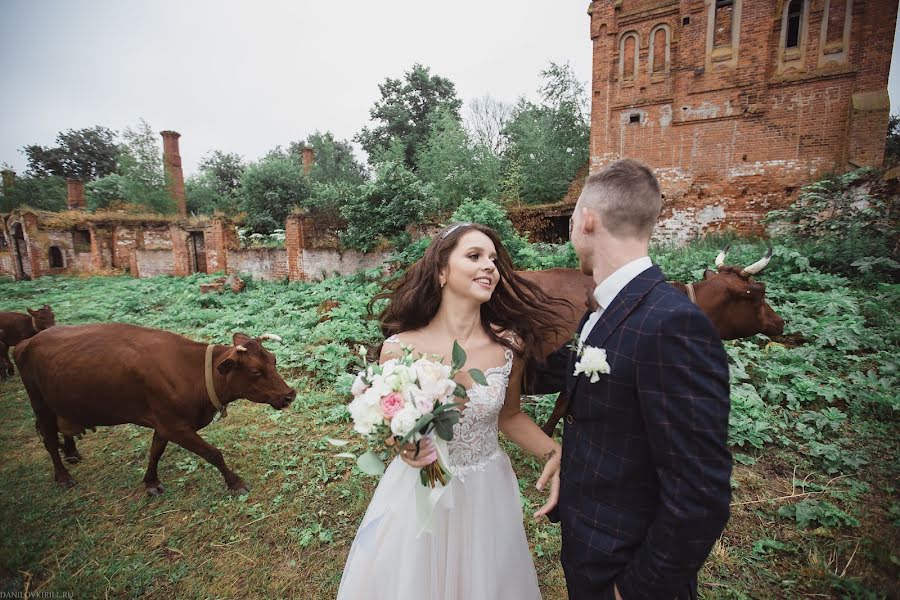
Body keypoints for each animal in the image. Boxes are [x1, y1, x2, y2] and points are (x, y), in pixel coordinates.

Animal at [13, 326, 296, 494]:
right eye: (255, 371)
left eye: (274, 360)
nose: (289, 394)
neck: (193, 373)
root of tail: (26, 341)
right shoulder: (175, 425)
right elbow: (213, 453)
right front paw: (235, 482)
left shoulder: (164, 423)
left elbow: (155, 451)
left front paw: (151, 481)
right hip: (39, 402)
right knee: (49, 439)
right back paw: (62, 475)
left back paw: (71, 452)